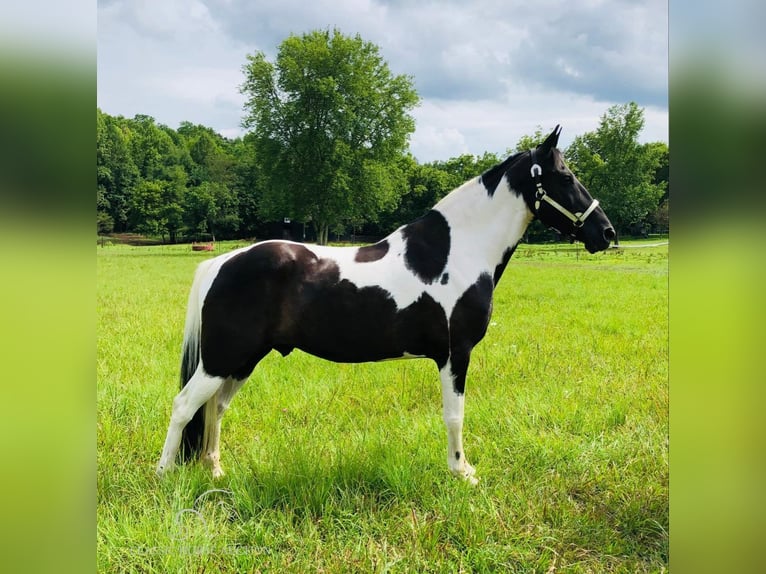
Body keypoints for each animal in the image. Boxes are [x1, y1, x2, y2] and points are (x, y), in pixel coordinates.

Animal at [158, 126, 616, 486]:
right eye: (565, 176)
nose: (607, 233)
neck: (455, 251)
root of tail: (221, 262)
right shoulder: (456, 354)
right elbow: (455, 415)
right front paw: (462, 472)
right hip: (222, 358)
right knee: (184, 405)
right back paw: (163, 474)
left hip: (241, 360)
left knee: (214, 408)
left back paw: (215, 470)